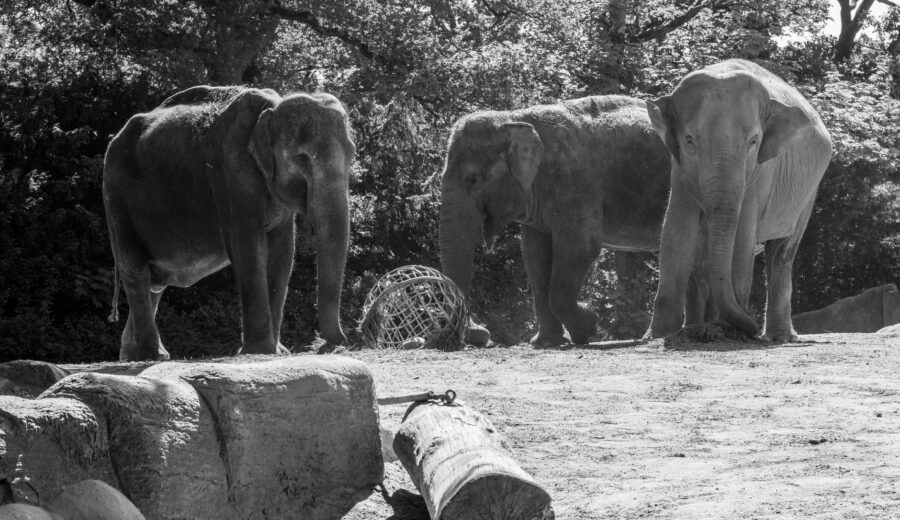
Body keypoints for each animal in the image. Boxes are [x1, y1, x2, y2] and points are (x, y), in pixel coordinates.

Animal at [103, 85, 353, 361]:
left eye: (352, 155)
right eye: (302, 158)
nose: (328, 345)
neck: (272, 105)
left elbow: (283, 254)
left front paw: (279, 351)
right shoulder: (231, 170)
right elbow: (247, 245)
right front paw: (260, 350)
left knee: (154, 282)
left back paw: (138, 355)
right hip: (116, 197)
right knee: (136, 271)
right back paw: (150, 356)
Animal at [438, 95, 672, 347]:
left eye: (473, 180)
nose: (481, 333)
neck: (513, 117)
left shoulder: (574, 181)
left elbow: (580, 247)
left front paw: (588, 328)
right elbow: (534, 254)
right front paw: (547, 341)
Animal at [645, 59, 833, 342]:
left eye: (754, 141)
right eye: (689, 141)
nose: (751, 326)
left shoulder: (763, 171)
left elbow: (743, 234)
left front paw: (728, 329)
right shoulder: (679, 168)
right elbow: (675, 230)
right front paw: (658, 335)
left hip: (809, 191)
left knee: (782, 251)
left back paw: (779, 338)